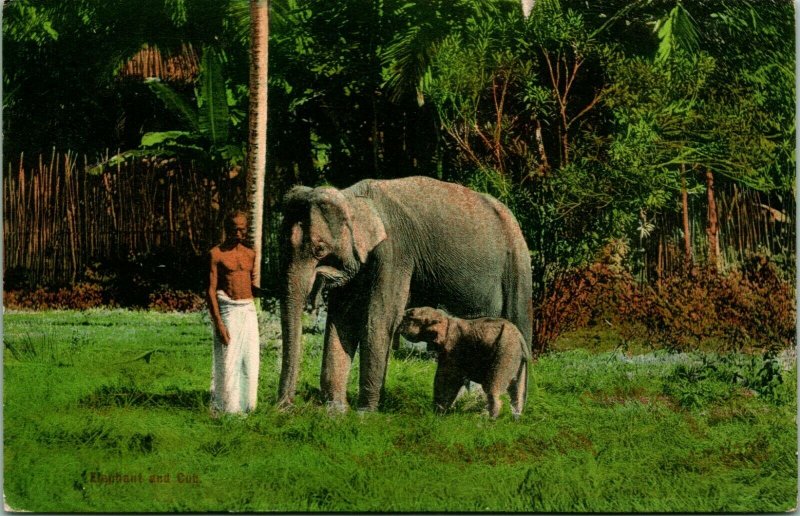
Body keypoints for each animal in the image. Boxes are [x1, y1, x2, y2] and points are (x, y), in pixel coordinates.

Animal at [396, 306, 528, 420]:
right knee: (518, 390)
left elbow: (446, 378)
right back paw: (515, 418)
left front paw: (437, 414)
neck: (445, 318)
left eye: (411, 316)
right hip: (518, 360)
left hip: (505, 352)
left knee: (492, 388)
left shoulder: (453, 349)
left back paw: (488, 420)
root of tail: (521, 339)